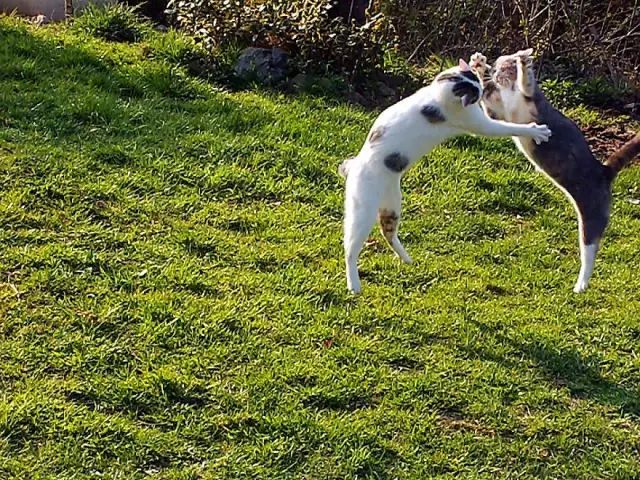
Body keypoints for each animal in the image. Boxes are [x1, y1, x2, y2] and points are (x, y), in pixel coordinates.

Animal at [342, 60, 552, 292]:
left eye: (474, 80)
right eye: (475, 92)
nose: (481, 89)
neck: (438, 90)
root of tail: (353, 165)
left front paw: (479, 63)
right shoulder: (477, 122)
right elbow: (508, 128)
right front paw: (537, 131)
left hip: (392, 206)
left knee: (388, 233)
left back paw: (406, 259)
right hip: (363, 212)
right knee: (350, 248)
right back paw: (354, 284)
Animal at [470, 51, 640, 292]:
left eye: (505, 65)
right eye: (497, 66)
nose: (495, 69)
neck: (509, 90)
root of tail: (604, 170)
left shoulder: (531, 98)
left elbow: (526, 82)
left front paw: (523, 62)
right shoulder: (498, 114)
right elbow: (489, 99)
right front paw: (478, 65)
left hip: (591, 217)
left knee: (590, 254)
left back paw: (580, 286)